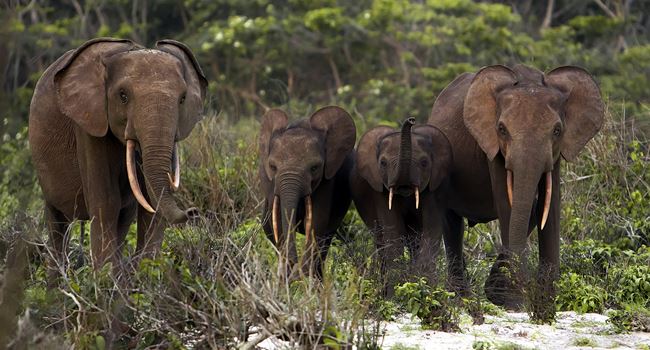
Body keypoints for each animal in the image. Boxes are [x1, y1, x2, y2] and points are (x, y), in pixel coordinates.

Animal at [29, 37, 206, 274]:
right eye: (123, 96)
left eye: (183, 98)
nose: (193, 211)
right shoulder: (89, 122)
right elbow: (106, 201)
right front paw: (105, 280)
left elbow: (149, 203)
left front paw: (146, 274)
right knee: (57, 223)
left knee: (123, 219)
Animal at [256, 105, 354, 278]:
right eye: (273, 167)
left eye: (315, 168)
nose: (294, 266)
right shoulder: (270, 182)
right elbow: (279, 220)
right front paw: (287, 277)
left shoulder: (328, 179)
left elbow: (317, 221)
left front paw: (303, 275)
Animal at [352, 117, 454, 292]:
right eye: (383, 163)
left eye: (424, 162)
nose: (411, 120)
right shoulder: (380, 190)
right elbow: (393, 231)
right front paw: (398, 290)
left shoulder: (436, 188)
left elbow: (432, 229)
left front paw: (423, 286)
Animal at [428, 64, 604, 308]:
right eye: (502, 129)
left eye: (557, 131)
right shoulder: (491, 146)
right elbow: (508, 205)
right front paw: (514, 301)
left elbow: (549, 207)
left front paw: (546, 299)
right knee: (452, 223)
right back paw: (461, 298)